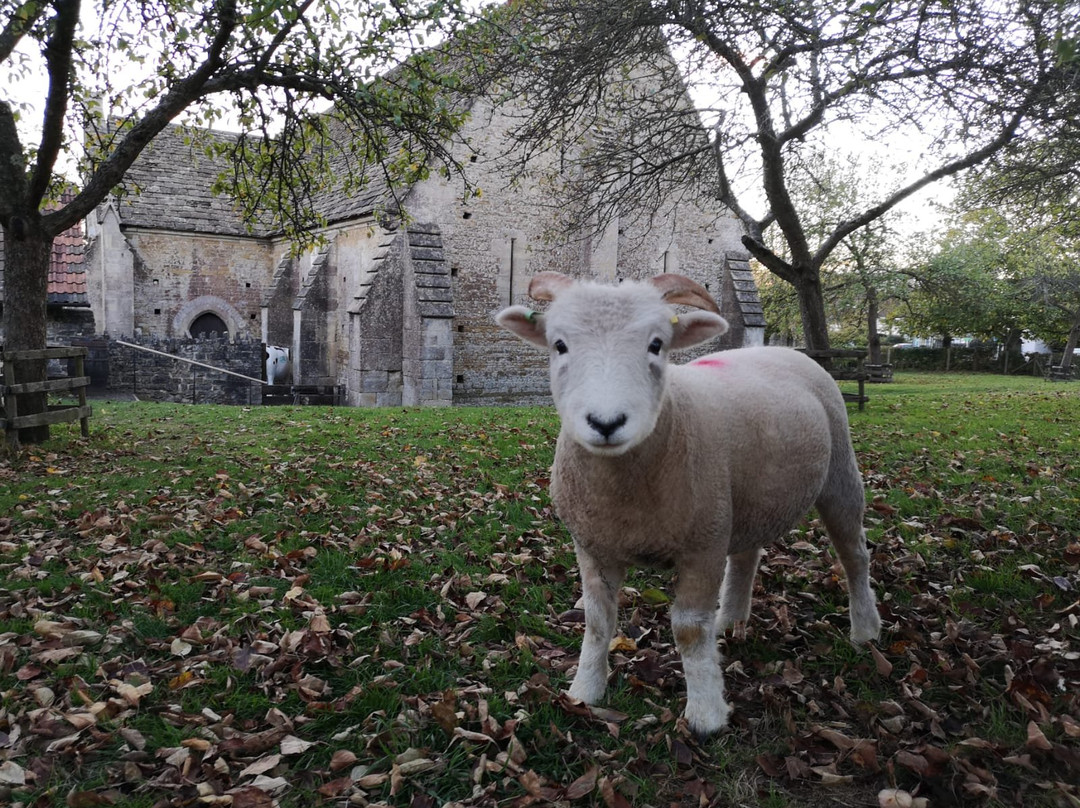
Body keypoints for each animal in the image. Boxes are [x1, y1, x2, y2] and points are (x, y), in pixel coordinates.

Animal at [494, 273, 881, 738]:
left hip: (839, 471)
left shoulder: (703, 546)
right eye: (559, 345)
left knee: (854, 554)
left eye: (657, 344)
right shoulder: (592, 546)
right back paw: (730, 621)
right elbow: (598, 621)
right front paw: (585, 689)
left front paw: (706, 714)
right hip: (743, 500)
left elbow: (690, 630)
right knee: (747, 556)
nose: (606, 423)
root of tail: (782, 349)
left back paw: (865, 629)